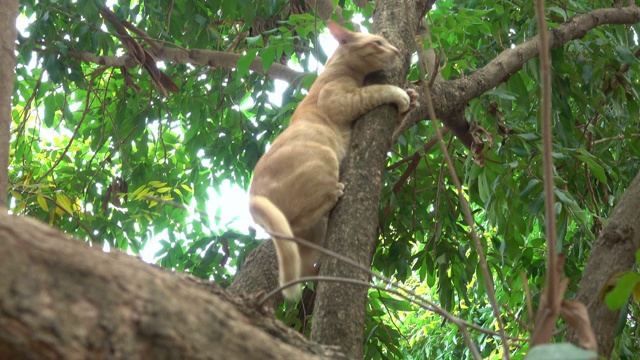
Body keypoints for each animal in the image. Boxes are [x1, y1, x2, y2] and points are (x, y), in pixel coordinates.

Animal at [248, 21, 418, 300]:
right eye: (378, 43)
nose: (396, 50)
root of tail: (251, 200)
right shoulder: (344, 101)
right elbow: (377, 90)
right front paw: (401, 94)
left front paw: (411, 99)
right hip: (324, 156)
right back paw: (335, 192)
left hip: (312, 236)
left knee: (303, 264)